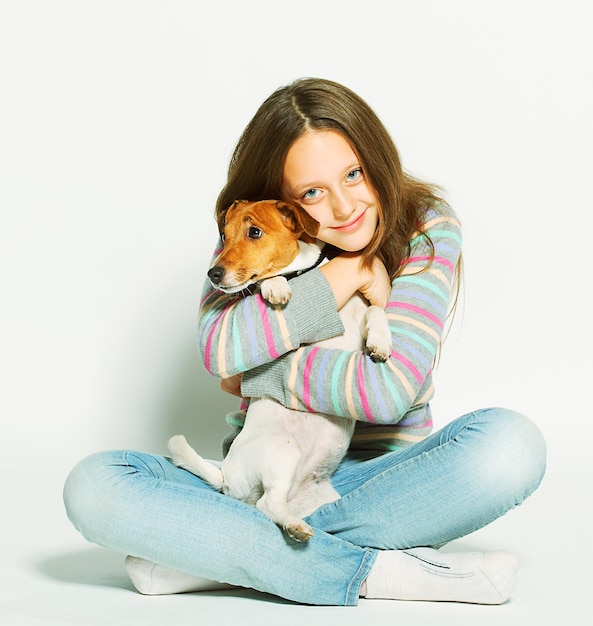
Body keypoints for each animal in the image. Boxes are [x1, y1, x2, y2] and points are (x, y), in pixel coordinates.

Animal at [165, 197, 394, 540]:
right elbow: (268, 280)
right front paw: (275, 286)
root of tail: (227, 476)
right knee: (268, 505)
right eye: (224, 235)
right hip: (283, 450)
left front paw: (381, 341)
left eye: (254, 232)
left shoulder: (361, 315)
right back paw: (295, 527)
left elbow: (376, 311)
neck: (302, 272)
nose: (213, 273)